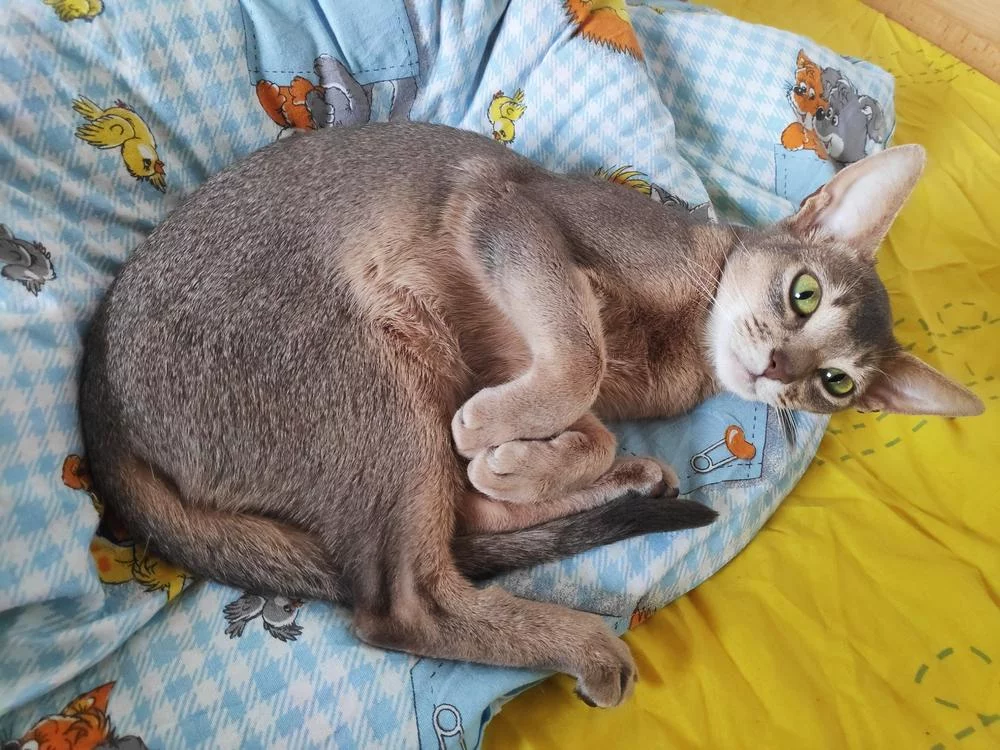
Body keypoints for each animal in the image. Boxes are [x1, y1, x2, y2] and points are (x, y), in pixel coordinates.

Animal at [79, 123, 982, 709]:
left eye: (836, 384)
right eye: (803, 294)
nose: (777, 372)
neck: (682, 344)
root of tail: (100, 403)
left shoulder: (505, 360)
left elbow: (583, 417)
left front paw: (533, 456)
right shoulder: (512, 217)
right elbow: (578, 363)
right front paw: (514, 439)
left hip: (413, 377)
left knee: (454, 532)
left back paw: (625, 481)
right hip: (374, 365)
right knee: (402, 604)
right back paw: (583, 641)